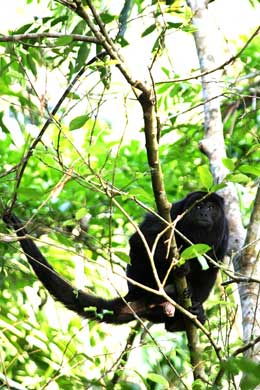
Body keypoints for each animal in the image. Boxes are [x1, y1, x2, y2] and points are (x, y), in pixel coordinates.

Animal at [3, 192, 228, 332]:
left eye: (210, 206)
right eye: (198, 205)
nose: (203, 212)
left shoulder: (224, 235)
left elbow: (212, 268)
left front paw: (196, 307)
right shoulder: (172, 213)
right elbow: (141, 240)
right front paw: (179, 265)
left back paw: (182, 317)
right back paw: (166, 292)